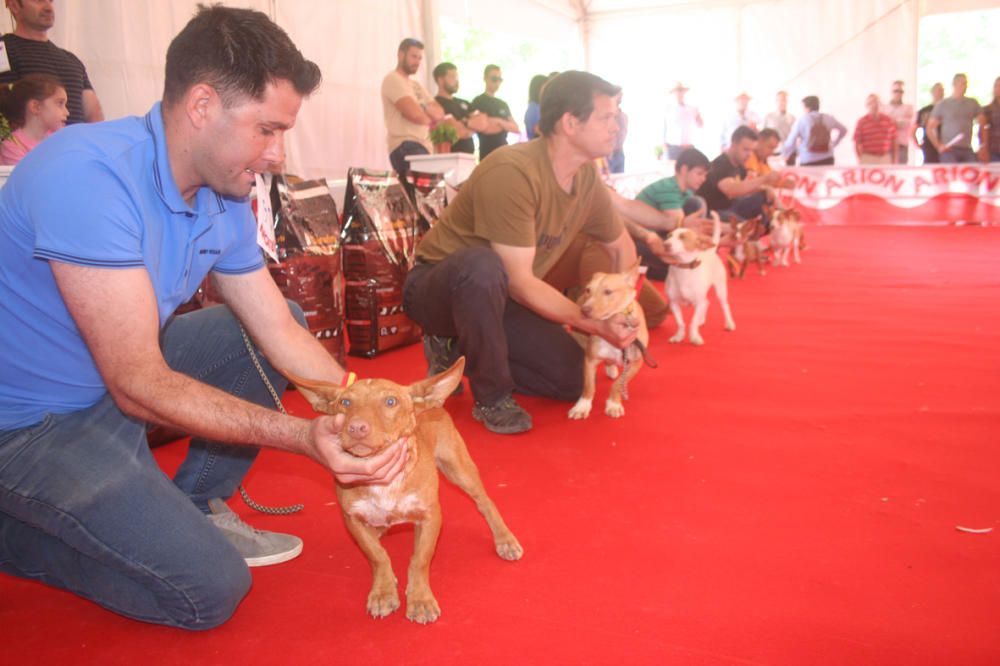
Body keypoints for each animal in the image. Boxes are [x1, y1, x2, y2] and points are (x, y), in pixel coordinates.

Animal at [288, 358, 524, 624]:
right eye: (345, 403)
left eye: (391, 401)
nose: (357, 428)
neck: (385, 483)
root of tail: (429, 401)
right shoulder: (353, 520)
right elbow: (377, 556)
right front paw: (383, 591)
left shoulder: (430, 517)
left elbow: (419, 560)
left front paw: (420, 599)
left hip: (459, 468)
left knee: (485, 503)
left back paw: (504, 539)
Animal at [572, 258, 648, 418]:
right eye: (588, 290)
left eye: (608, 292)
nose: (584, 310)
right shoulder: (590, 359)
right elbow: (589, 386)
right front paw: (582, 406)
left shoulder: (636, 364)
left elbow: (618, 385)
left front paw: (613, 404)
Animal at [664, 211, 736, 348]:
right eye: (668, 236)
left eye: (682, 237)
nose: (665, 245)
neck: (684, 269)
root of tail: (711, 251)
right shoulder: (674, 303)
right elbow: (680, 323)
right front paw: (679, 336)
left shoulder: (698, 302)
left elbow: (692, 322)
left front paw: (694, 337)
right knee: (707, 302)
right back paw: (701, 320)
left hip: (720, 290)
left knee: (725, 306)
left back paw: (729, 323)